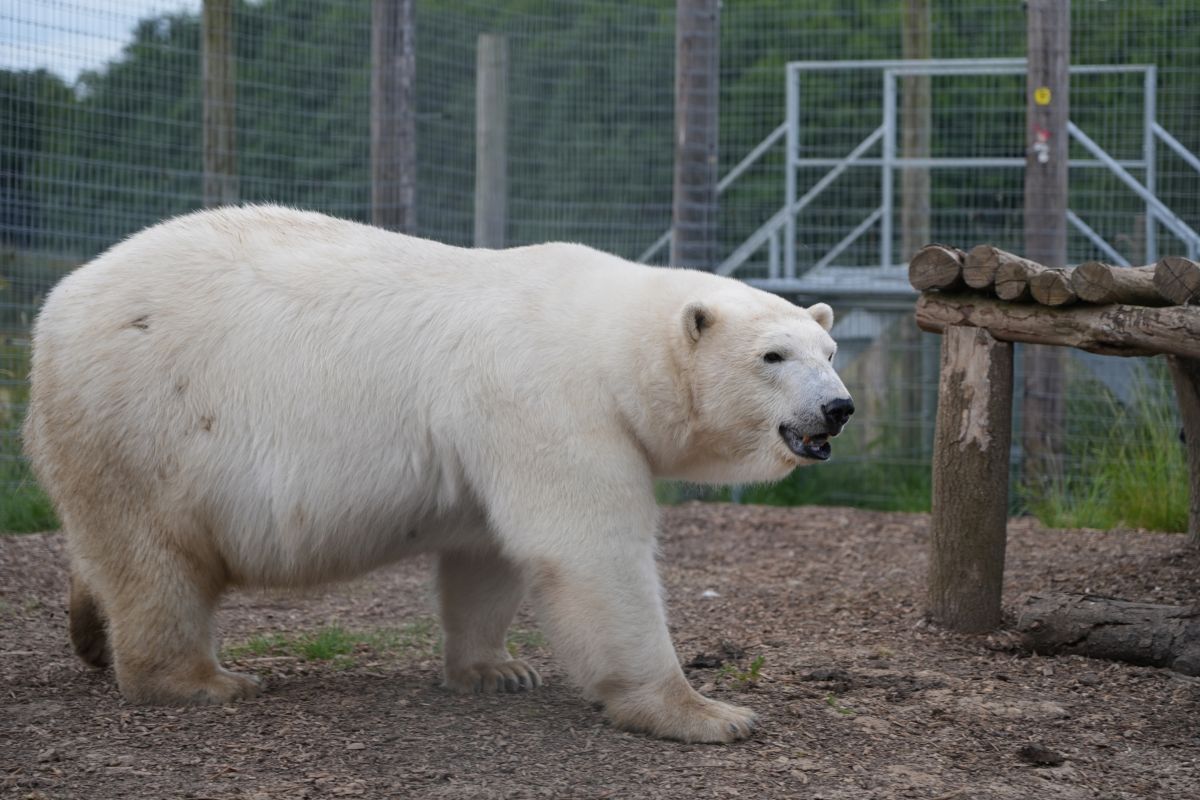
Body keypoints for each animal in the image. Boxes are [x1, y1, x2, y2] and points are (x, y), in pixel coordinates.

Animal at [23, 205, 853, 743]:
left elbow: (487, 559)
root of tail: (55, 308)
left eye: (828, 351)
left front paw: (495, 671)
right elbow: (589, 552)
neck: (603, 342)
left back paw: (90, 628)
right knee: (154, 558)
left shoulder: (496, 434)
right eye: (773, 355)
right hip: (144, 421)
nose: (838, 407)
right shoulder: (546, 399)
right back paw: (202, 679)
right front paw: (708, 713)